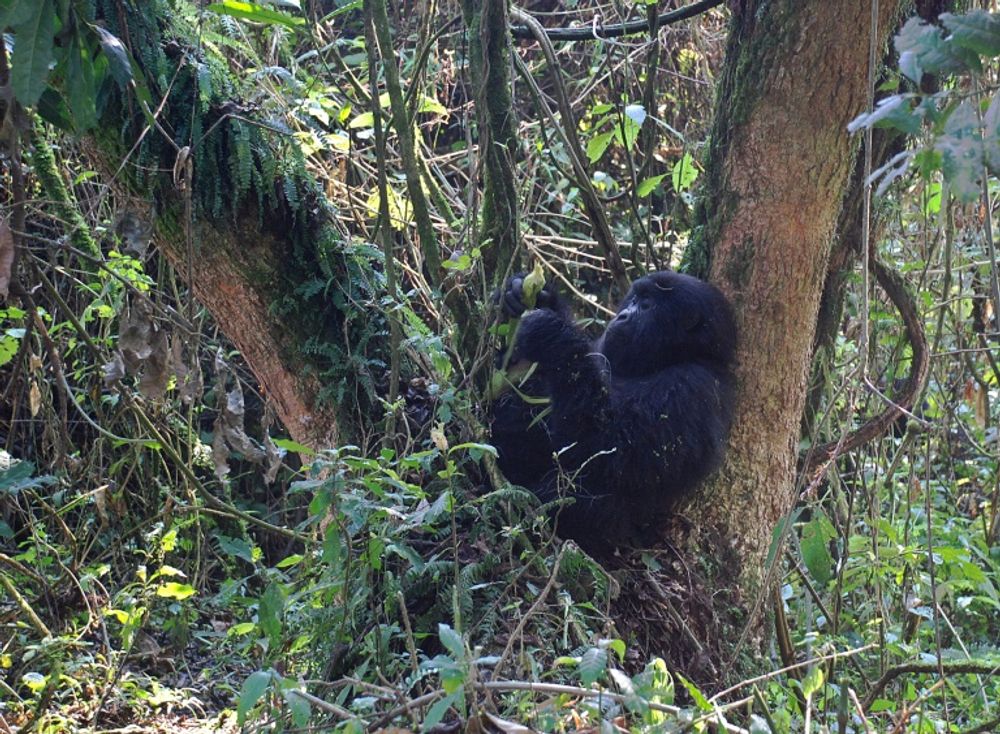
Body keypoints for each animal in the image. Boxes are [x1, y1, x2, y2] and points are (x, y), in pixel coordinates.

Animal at [488, 274, 740, 548]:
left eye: (647, 305)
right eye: (634, 299)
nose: (622, 316)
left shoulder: (693, 386)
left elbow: (608, 448)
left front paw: (551, 337)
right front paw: (530, 296)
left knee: (590, 499)